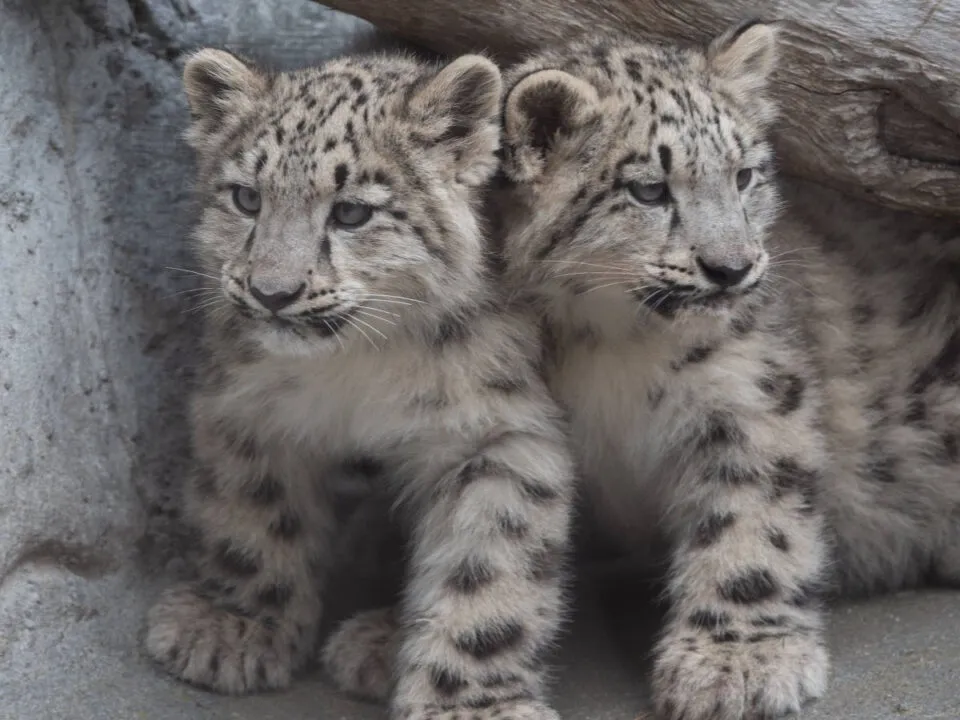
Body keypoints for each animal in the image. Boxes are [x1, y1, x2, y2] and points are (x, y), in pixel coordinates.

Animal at [142, 47, 576, 720]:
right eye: (246, 198)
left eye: (351, 211)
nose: (271, 292)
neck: (358, 366)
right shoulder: (245, 405)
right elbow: (253, 515)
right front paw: (234, 627)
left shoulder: (498, 434)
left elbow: (486, 567)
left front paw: (468, 703)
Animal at [324, 20, 960, 720]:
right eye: (650, 189)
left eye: (744, 175)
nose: (733, 268)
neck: (606, 345)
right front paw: (386, 635)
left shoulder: (753, 392)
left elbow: (754, 519)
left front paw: (736, 662)